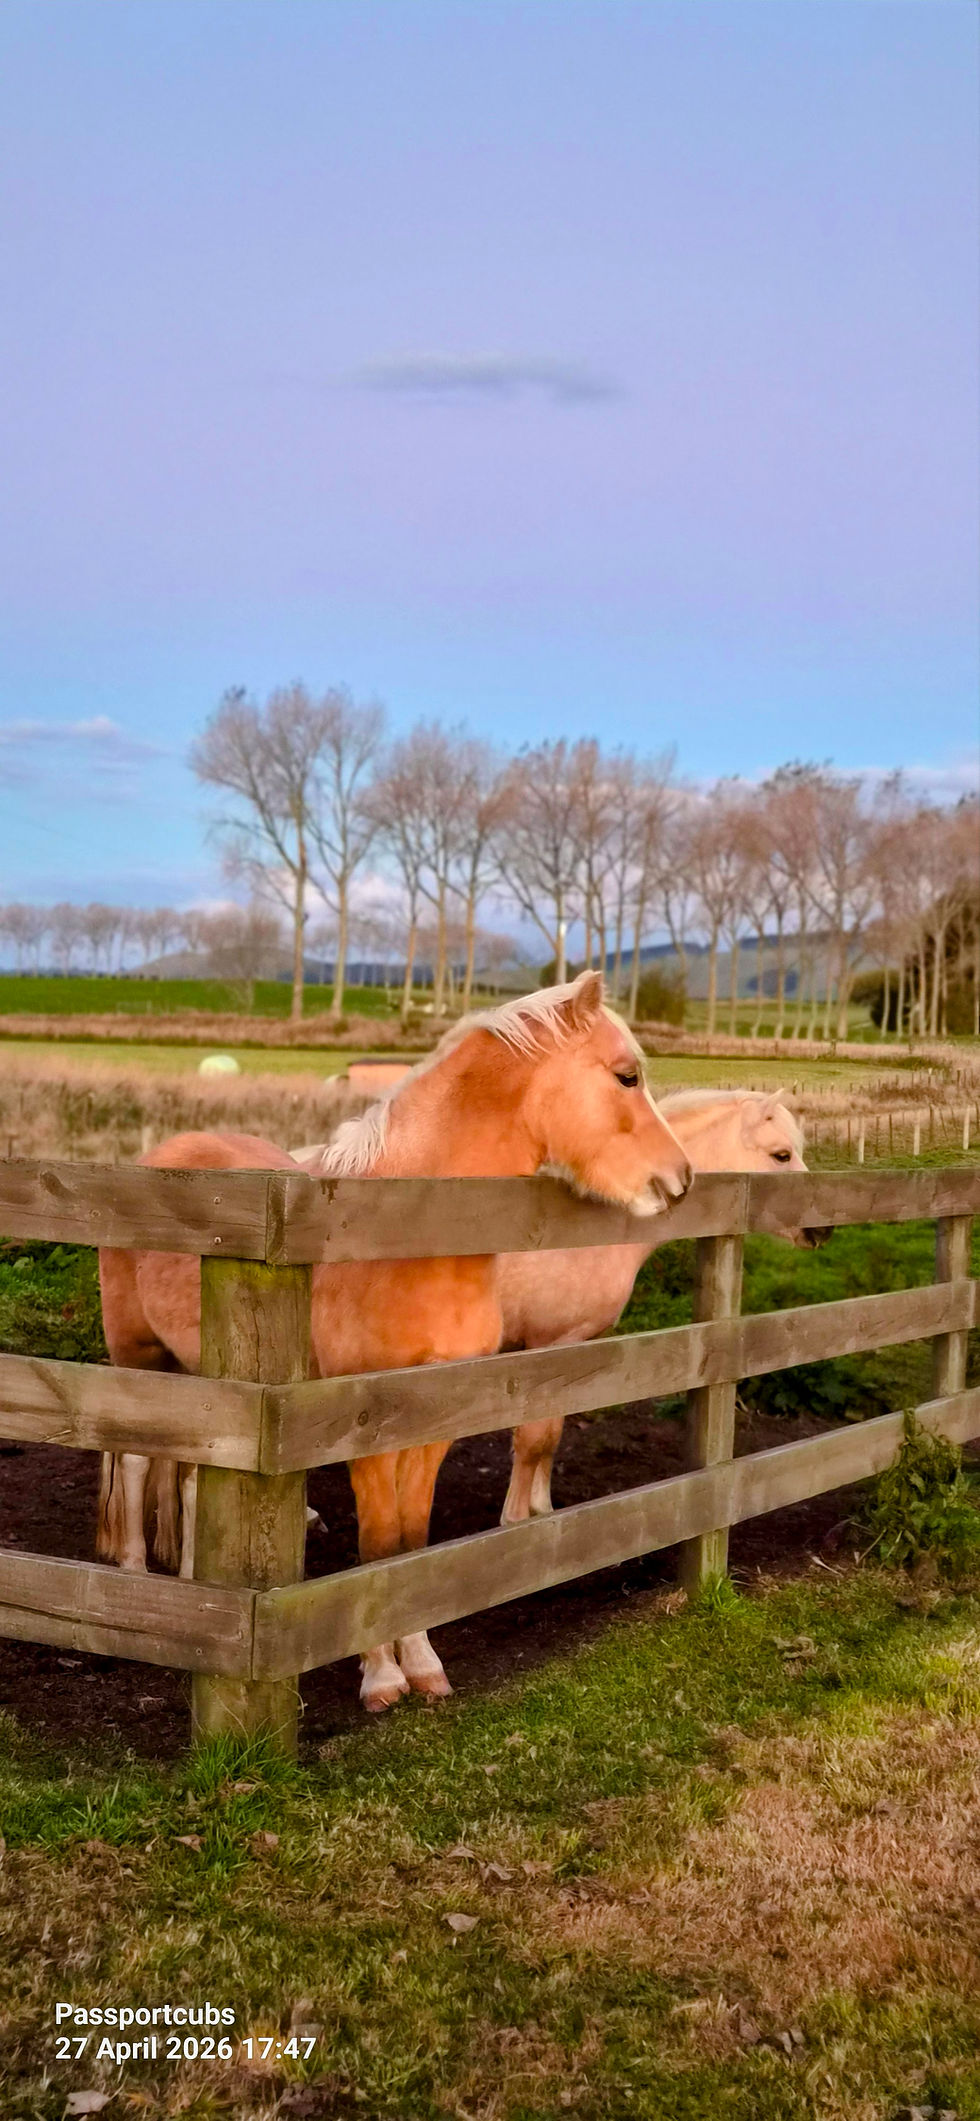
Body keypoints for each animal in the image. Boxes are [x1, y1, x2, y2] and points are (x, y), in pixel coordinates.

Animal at [97, 972, 693, 1711]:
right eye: (626, 1075)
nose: (680, 1178)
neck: (406, 1237)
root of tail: (159, 1157)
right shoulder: (366, 1429)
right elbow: (379, 1541)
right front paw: (381, 1677)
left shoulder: (436, 1419)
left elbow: (413, 1539)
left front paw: (424, 1664)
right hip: (136, 1355)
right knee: (134, 1461)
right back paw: (132, 1581)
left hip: (201, 1372)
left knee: (183, 1473)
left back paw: (188, 1585)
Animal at [496, 1086, 823, 1526]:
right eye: (782, 1155)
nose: (822, 1228)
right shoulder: (544, 1352)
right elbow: (532, 1440)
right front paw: (516, 1523)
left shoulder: (571, 1357)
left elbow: (551, 1436)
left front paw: (542, 1511)